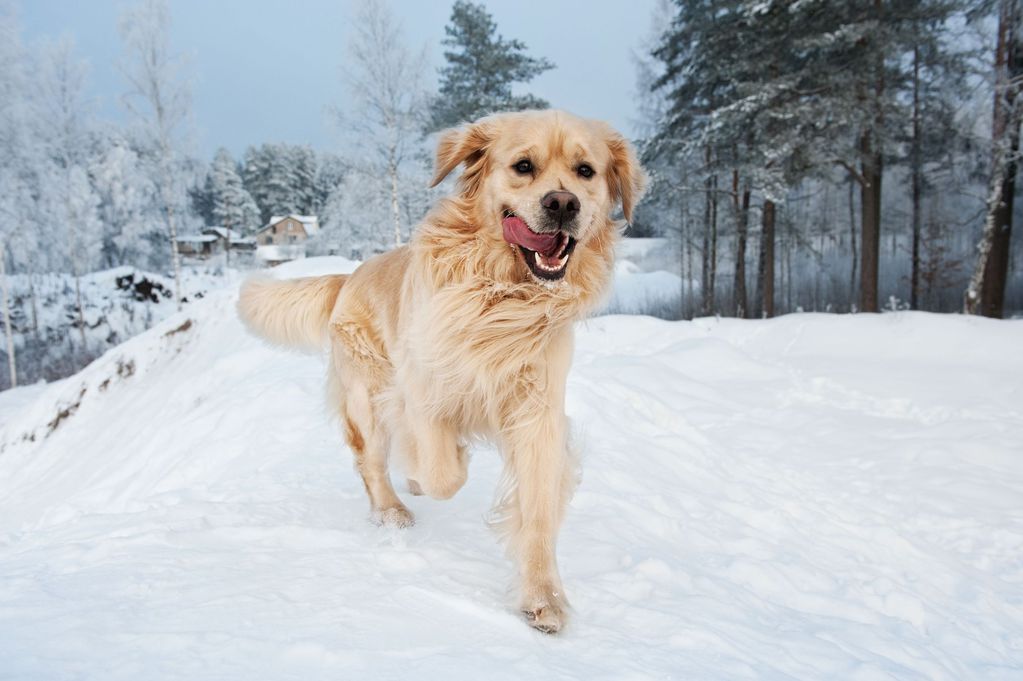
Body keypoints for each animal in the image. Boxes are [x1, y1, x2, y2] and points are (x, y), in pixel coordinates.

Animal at [235, 108, 642, 629]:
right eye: (523, 166)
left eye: (585, 171)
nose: (562, 203)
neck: (503, 295)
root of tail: (351, 275)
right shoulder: (423, 388)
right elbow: (443, 473)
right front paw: (443, 463)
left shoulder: (537, 409)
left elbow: (537, 506)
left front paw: (544, 596)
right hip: (366, 395)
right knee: (371, 462)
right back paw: (392, 508)